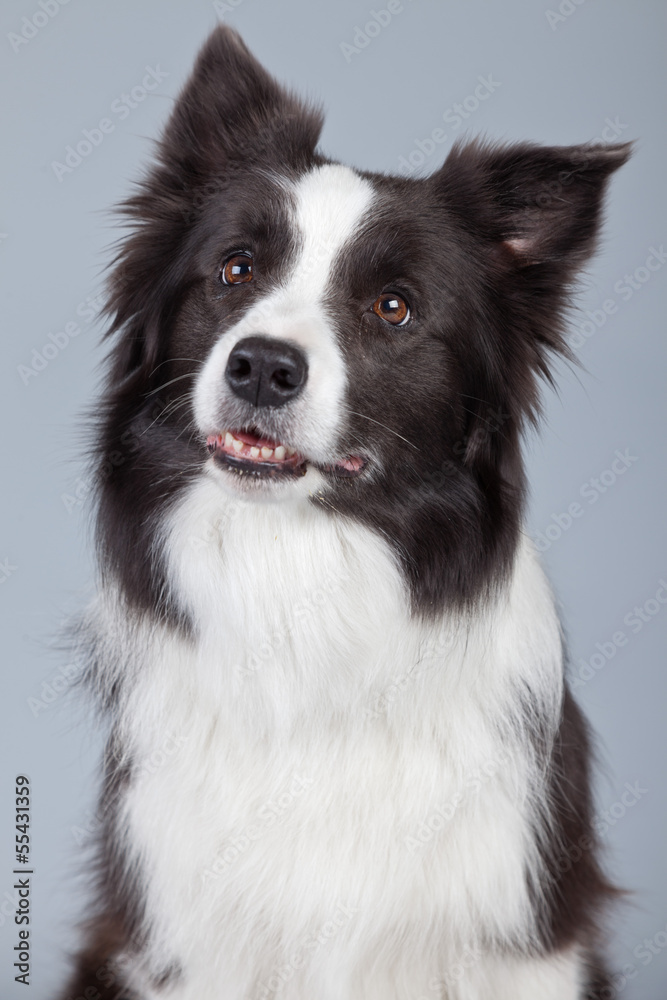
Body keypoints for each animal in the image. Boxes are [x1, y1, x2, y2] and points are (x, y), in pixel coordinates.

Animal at [60, 23, 628, 1000]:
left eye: (392, 308)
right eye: (236, 268)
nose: (261, 366)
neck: (301, 583)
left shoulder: (518, 943)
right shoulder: (187, 937)